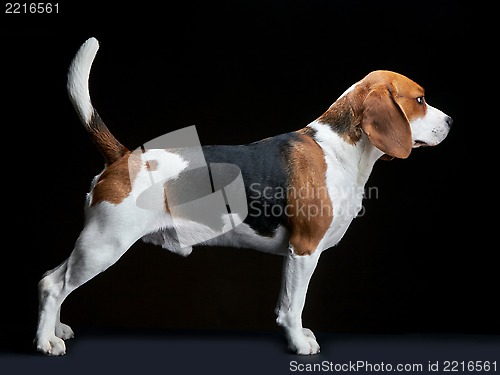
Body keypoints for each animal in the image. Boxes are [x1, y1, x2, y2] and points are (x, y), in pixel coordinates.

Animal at [33, 38, 452, 356]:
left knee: (50, 278)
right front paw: (299, 343)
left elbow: (286, 302)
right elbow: (293, 305)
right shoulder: (304, 250)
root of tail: (124, 156)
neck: (339, 147)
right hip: (105, 244)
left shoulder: (295, 254)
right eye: (419, 100)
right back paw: (45, 343)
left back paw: (56, 330)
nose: (450, 121)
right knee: (54, 285)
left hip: (95, 243)